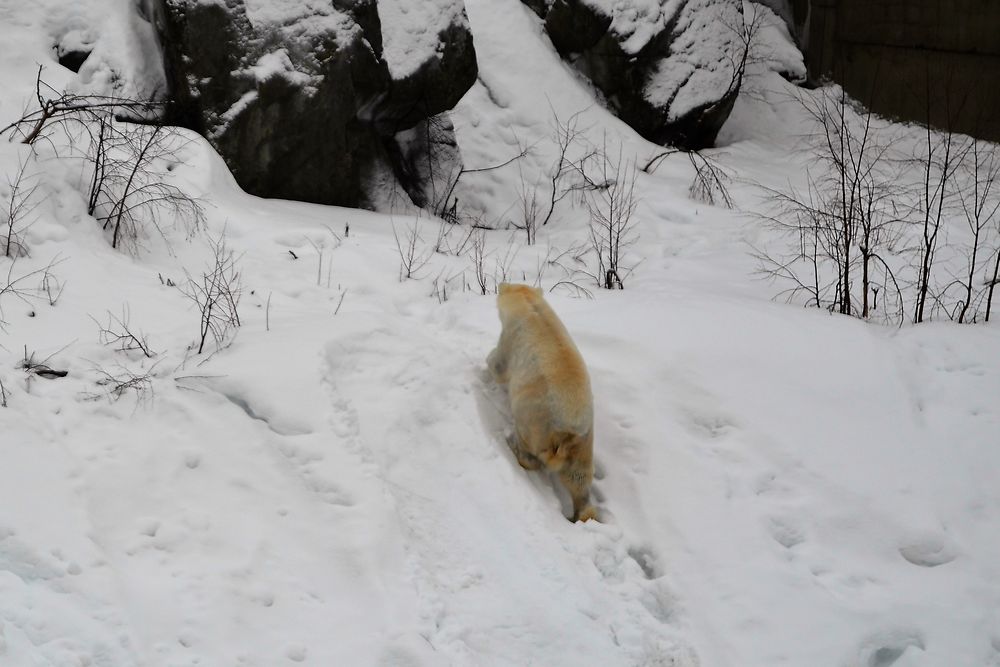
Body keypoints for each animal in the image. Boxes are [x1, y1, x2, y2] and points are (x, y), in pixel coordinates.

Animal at [488, 282, 596, 520]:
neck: (531, 306)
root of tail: (567, 434)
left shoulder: (511, 337)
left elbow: (498, 364)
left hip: (535, 420)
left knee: (528, 449)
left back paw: (515, 450)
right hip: (583, 444)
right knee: (578, 478)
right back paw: (582, 513)